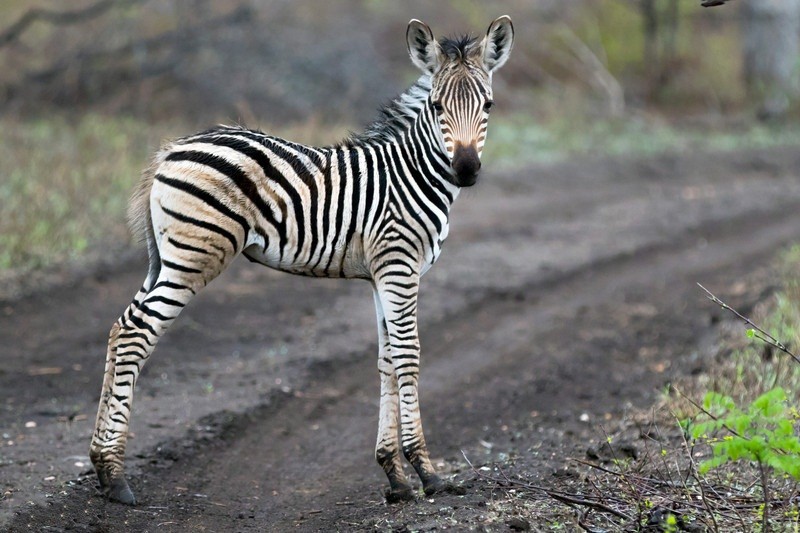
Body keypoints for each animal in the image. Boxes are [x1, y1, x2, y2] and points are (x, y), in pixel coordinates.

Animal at [90, 16, 516, 504]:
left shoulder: (380, 275)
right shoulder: (399, 266)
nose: (465, 170)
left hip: (163, 258)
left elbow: (386, 359)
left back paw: (101, 466)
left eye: (489, 104)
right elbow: (408, 356)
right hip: (193, 257)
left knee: (120, 327)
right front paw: (428, 473)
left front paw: (394, 476)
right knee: (135, 334)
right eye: (437, 105)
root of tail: (170, 150)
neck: (412, 173)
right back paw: (116, 477)